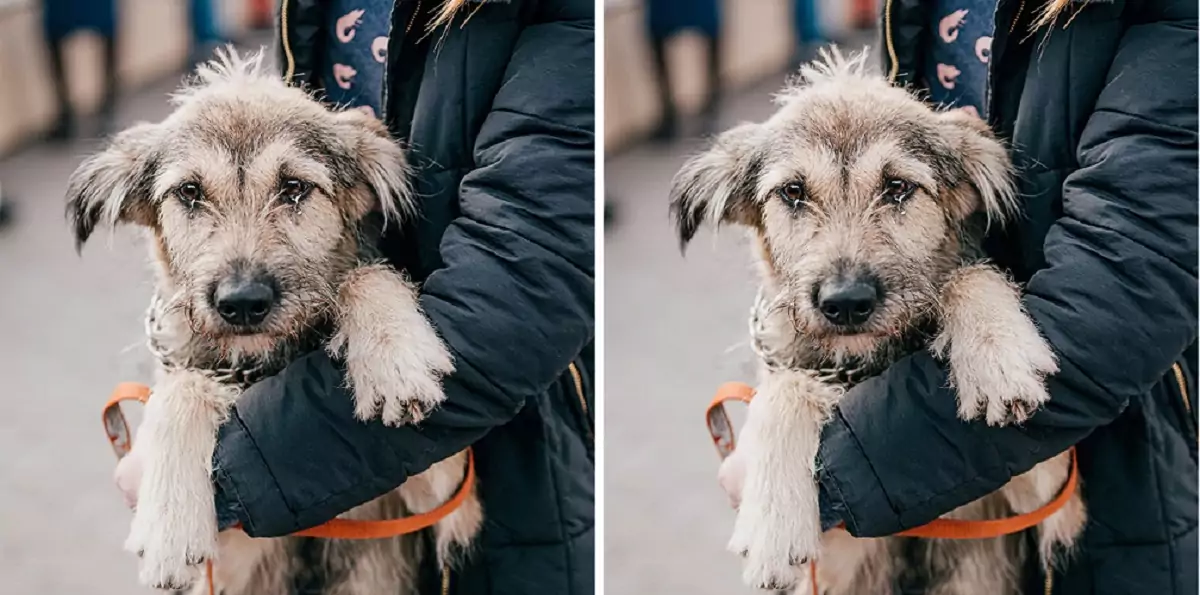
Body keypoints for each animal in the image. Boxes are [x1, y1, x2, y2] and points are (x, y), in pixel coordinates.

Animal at [66, 50, 482, 595]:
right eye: (190, 192)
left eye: (294, 188)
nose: (242, 303)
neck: (259, 365)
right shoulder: (231, 562)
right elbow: (183, 388)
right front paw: (169, 523)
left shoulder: (448, 497)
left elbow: (364, 275)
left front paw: (394, 357)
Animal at [672, 48, 1084, 592]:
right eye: (793, 192)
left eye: (897, 188)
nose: (846, 302)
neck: (863, 364)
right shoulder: (834, 559)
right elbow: (786, 389)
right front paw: (772, 522)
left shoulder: (1051, 496)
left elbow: (966, 275)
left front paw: (997, 356)